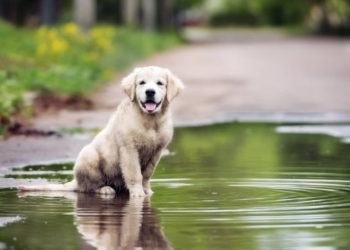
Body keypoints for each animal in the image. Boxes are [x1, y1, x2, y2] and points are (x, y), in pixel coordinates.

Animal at [18, 66, 183, 197]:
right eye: (141, 83)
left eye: (160, 83)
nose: (150, 92)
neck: (150, 120)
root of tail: (76, 181)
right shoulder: (129, 149)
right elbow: (134, 173)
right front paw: (138, 194)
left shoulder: (156, 151)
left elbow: (147, 174)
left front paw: (147, 190)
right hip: (88, 156)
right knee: (87, 188)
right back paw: (104, 189)